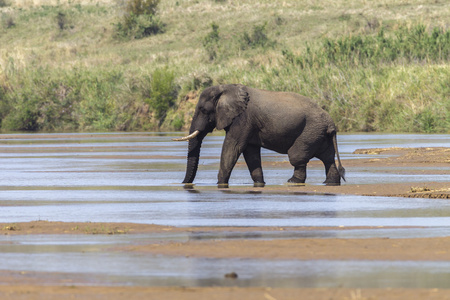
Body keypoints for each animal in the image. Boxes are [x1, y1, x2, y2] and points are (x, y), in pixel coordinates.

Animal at [172, 84, 344, 188]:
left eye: (203, 110)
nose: (184, 184)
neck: (227, 88)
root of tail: (331, 123)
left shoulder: (243, 119)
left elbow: (232, 147)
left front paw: (220, 184)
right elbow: (251, 152)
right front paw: (260, 183)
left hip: (309, 132)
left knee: (297, 157)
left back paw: (293, 182)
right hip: (319, 134)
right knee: (328, 158)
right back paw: (330, 183)